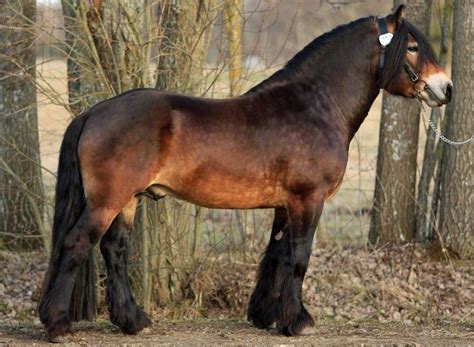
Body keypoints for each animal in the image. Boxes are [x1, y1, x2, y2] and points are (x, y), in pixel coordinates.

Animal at [39, 4, 450, 342]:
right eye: (413, 47)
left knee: (115, 250)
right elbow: (299, 258)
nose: (445, 88)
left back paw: (132, 320)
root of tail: (95, 111)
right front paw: (297, 321)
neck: (314, 106)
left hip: (127, 201)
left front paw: (268, 315)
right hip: (107, 201)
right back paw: (57, 324)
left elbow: (277, 255)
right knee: (77, 245)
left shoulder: (285, 205)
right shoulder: (308, 199)